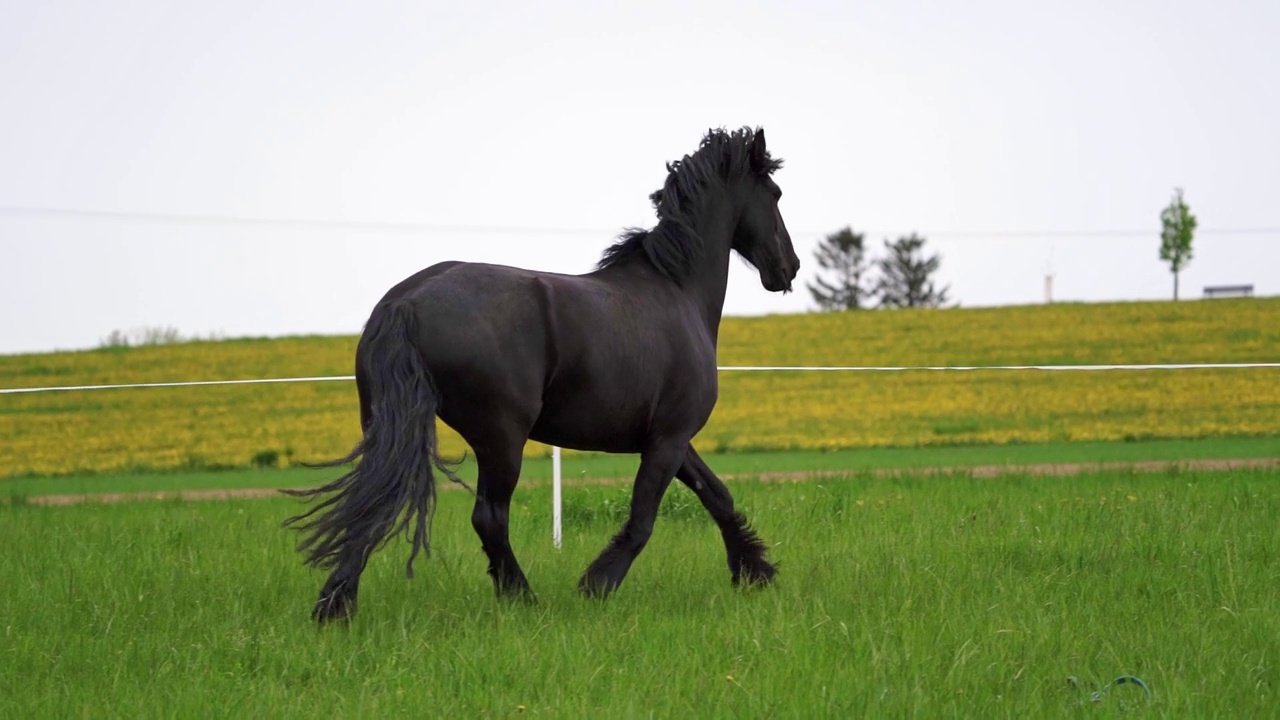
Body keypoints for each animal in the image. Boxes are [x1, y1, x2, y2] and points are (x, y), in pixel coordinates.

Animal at [285, 126, 793, 620]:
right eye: (775, 193)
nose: (789, 267)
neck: (677, 290)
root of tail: (406, 303)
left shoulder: (671, 439)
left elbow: (718, 496)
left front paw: (754, 572)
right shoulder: (668, 439)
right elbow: (643, 518)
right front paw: (596, 585)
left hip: (385, 426)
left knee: (370, 501)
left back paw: (335, 606)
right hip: (502, 438)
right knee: (488, 517)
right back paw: (521, 598)